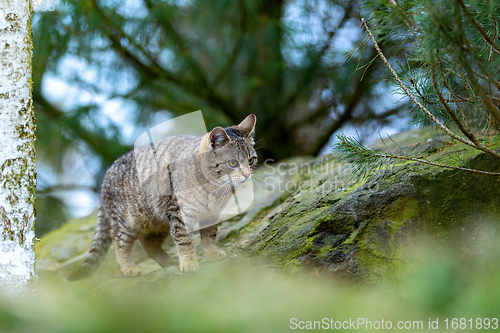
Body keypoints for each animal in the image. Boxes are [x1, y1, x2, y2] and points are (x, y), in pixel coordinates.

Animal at [68, 113, 258, 278]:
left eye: (251, 161)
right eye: (232, 163)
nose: (247, 175)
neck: (214, 189)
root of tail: (105, 177)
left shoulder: (211, 214)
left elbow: (209, 235)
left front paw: (211, 253)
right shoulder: (179, 214)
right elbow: (185, 240)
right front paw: (189, 262)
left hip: (157, 221)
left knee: (148, 244)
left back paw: (168, 261)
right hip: (127, 221)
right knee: (119, 243)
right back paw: (128, 268)